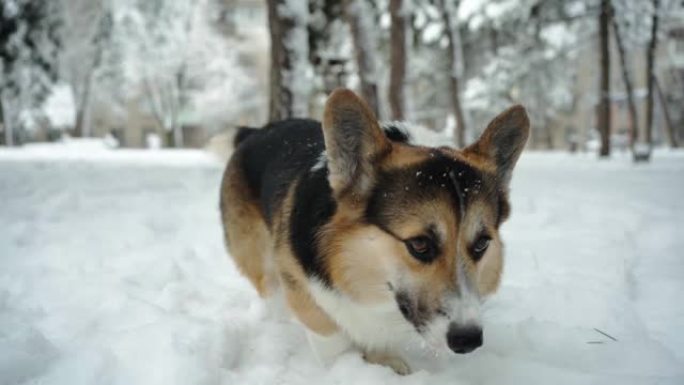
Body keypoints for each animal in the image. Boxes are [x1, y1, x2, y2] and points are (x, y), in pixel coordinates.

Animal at [219, 88, 528, 374]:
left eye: (482, 244)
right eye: (420, 244)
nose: (468, 340)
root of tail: (257, 131)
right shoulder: (299, 281)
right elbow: (329, 335)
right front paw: (344, 366)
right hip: (260, 260)